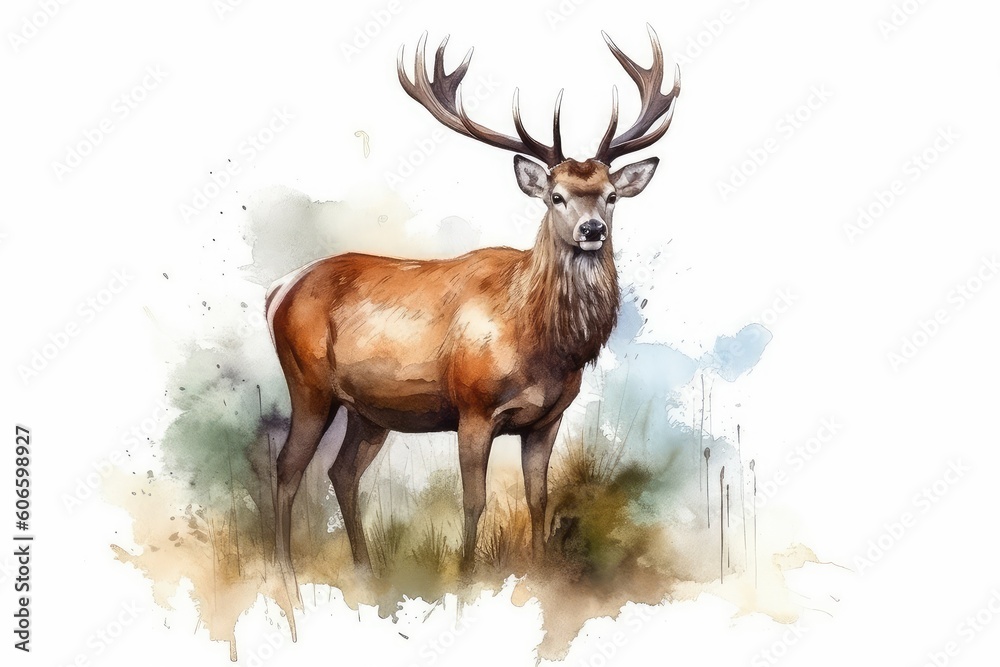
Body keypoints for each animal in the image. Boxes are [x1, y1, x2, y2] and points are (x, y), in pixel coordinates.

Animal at [267, 25, 680, 583]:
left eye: (611, 195)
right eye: (555, 196)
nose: (592, 230)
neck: (540, 344)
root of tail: (279, 290)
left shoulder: (546, 420)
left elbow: (538, 498)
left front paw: (541, 573)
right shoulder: (473, 408)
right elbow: (474, 501)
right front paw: (465, 577)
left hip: (369, 411)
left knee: (342, 470)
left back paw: (365, 569)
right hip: (307, 382)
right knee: (288, 467)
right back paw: (285, 572)